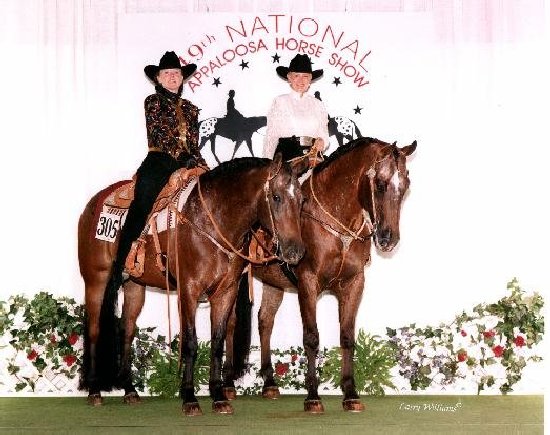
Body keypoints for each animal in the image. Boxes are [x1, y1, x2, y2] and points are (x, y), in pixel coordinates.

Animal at [78, 154, 307, 416]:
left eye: (302, 199)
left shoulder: (225, 292)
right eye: (276, 197)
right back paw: (94, 390)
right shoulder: (188, 291)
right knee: (94, 329)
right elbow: (190, 342)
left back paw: (130, 390)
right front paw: (189, 397)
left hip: (135, 284)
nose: (296, 251)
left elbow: (217, 342)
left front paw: (219, 396)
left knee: (126, 329)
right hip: (96, 280)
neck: (211, 221)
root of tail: (93, 203)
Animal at [223, 137, 417, 413]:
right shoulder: (308, 282)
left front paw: (351, 394)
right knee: (230, 323)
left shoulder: (354, 284)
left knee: (265, 321)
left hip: (274, 284)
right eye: (380, 184)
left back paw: (270, 384)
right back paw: (227, 385)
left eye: (406, 185)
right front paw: (313, 396)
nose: (389, 239)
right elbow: (312, 337)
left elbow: (347, 337)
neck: (335, 223)